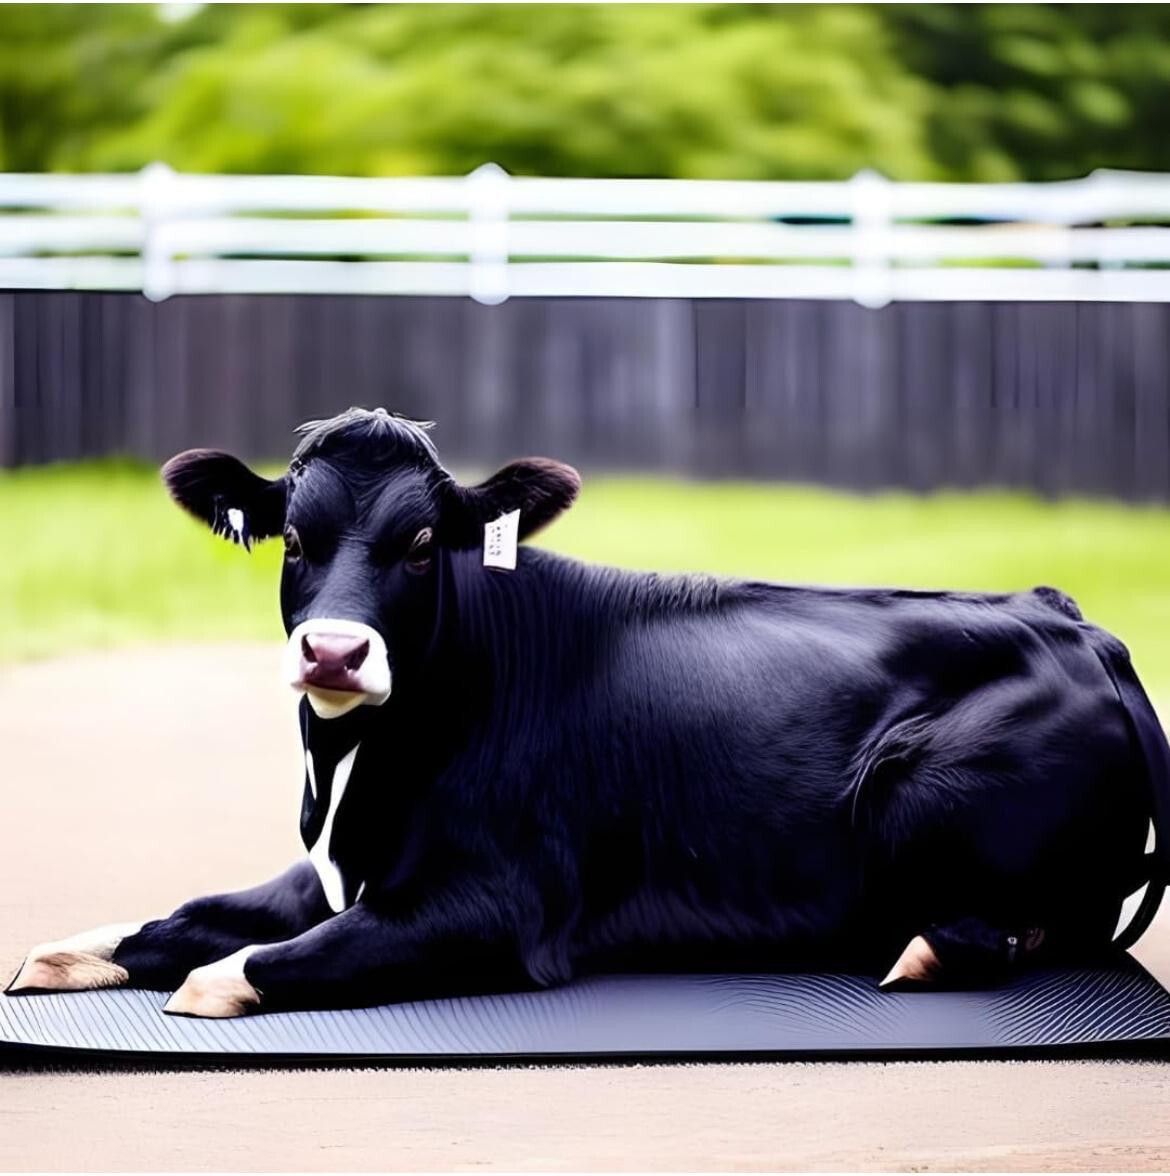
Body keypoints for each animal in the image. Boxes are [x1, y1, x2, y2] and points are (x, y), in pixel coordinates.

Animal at [7, 407, 1169, 1019]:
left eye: (423, 543)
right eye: (293, 535)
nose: (333, 650)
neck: (352, 777)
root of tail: (1064, 615)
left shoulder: (496, 906)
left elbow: (242, 965)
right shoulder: (332, 870)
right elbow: (182, 918)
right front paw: (60, 954)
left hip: (912, 791)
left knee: (1028, 927)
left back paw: (923, 948)